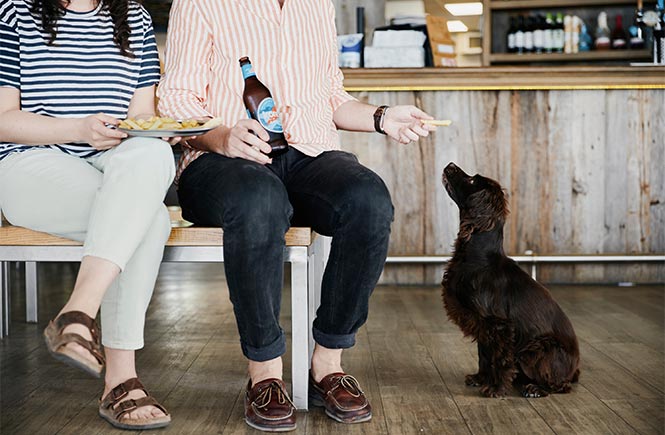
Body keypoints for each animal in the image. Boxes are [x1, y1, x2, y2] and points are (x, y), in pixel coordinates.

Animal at [440, 163, 580, 398]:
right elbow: (484, 355)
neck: (477, 256)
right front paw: (480, 378)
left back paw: (534, 388)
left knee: (560, 385)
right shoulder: (482, 324)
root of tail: (575, 368)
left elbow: (499, 359)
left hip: (537, 348)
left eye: (472, 180)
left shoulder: (500, 325)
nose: (450, 165)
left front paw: (495, 388)